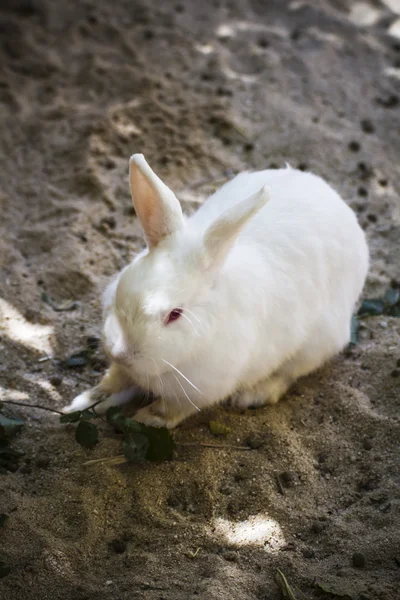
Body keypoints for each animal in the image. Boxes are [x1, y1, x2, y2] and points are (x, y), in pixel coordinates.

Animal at [63, 154, 368, 426]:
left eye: (175, 314)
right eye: (122, 288)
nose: (121, 353)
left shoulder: (201, 389)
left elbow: (171, 409)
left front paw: (147, 418)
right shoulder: (125, 372)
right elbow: (112, 383)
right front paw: (78, 404)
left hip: (315, 345)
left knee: (287, 375)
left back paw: (253, 395)